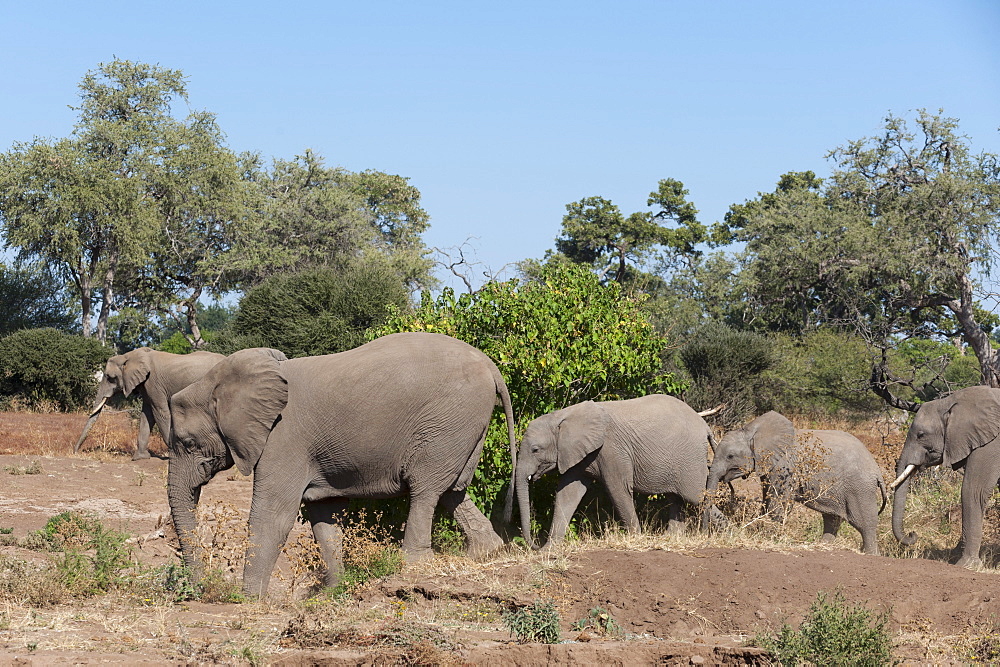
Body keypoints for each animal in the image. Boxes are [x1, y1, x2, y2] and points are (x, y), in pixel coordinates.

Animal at [75, 350, 226, 460]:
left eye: (110, 378)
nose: (76, 451)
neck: (128, 356)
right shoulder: (146, 386)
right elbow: (147, 415)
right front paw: (140, 458)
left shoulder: (154, 384)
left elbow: (160, 412)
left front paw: (172, 452)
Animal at [168, 332, 516, 596]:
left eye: (188, 443)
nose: (200, 589)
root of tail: (490, 364)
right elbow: (324, 515)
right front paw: (334, 590)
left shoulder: (284, 438)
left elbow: (272, 515)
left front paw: (250, 599)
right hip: (463, 425)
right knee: (454, 489)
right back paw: (487, 552)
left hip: (446, 420)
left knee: (426, 488)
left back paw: (414, 564)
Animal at [512, 394, 716, 552]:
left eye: (535, 450)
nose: (535, 545)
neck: (563, 415)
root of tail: (705, 425)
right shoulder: (575, 453)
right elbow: (567, 493)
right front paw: (549, 549)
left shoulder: (612, 449)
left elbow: (617, 489)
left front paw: (636, 538)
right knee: (676, 498)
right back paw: (671, 538)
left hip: (690, 459)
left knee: (697, 496)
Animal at [704, 410, 892, 556]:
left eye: (730, 456)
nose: (705, 532)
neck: (752, 431)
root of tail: (877, 471)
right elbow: (768, 499)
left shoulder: (784, 465)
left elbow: (777, 502)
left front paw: (769, 537)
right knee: (832, 517)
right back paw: (822, 546)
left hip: (859, 487)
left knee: (864, 523)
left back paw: (870, 555)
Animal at [892, 386, 1000, 568]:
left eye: (921, 435)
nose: (913, 533)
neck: (949, 401)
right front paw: (956, 554)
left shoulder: (991, 444)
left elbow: (973, 491)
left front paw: (966, 565)